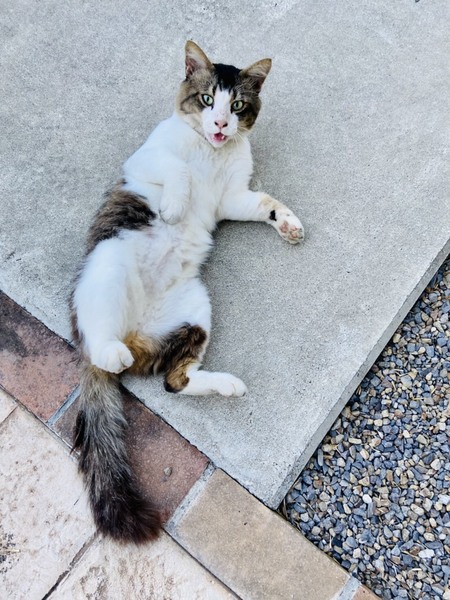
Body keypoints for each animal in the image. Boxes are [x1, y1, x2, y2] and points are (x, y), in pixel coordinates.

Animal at [70, 41, 304, 544]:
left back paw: (226, 384)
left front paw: (288, 223)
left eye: (237, 106)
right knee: (101, 349)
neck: (210, 154)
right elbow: (176, 166)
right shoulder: (144, 158)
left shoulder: (233, 197)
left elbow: (265, 201)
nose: (220, 125)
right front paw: (176, 204)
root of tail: (133, 334)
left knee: (174, 381)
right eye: (206, 99)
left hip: (196, 308)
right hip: (108, 265)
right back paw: (111, 351)